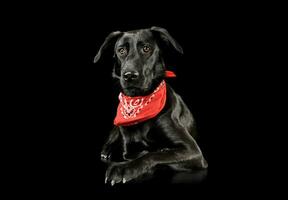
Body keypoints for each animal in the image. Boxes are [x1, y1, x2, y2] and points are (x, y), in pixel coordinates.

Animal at [94, 27, 207, 186]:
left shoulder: (193, 151)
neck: (140, 102)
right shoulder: (130, 148)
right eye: (121, 50)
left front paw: (123, 169)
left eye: (146, 48)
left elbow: (154, 154)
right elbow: (140, 153)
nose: (129, 75)